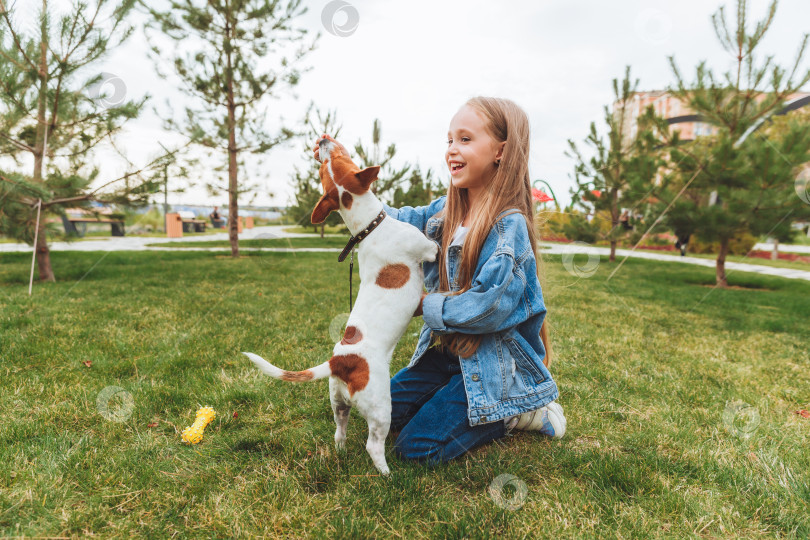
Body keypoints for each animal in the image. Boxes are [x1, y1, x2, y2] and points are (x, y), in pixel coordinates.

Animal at [241, 137, 436, 474]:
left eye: (325, 168)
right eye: (338, 161)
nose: (321, 140)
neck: (369, 227)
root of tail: (339, 361)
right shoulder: (428, 249)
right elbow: (436, 244)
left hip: (338, 404)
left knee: (338, 432)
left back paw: (342, 453)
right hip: (380, 408)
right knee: (373, 445)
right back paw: (387, 475)